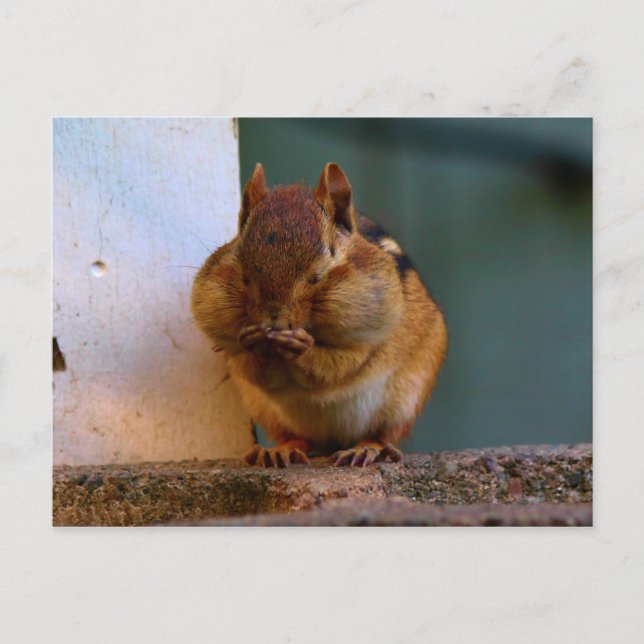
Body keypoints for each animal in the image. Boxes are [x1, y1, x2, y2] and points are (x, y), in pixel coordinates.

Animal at [191, 162, 447, 468]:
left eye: (316, 277)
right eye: (245, 277)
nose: (273, 322)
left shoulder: (367, 342)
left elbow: (338, 366)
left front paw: (301, 347)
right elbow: (250, 366)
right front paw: (254, 342)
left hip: (404, 401)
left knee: (383, 434)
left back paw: (367, 449)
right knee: (299, 438)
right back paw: (279, 450)